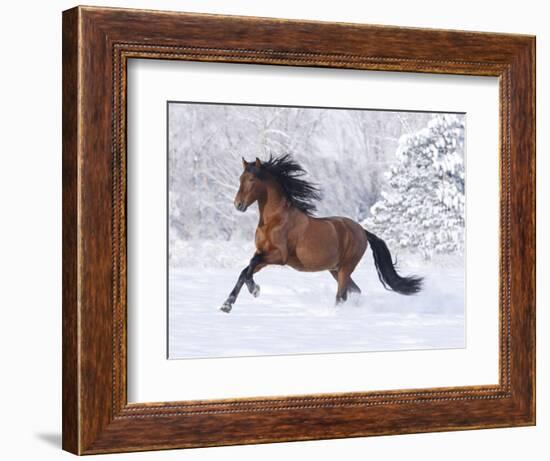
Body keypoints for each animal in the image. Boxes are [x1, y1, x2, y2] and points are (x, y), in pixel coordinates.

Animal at [222, 155, 424, 312]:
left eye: (251, 180)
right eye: (240, 178)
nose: (238, 205)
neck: (275, 220)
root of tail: (362, 231)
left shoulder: (279, 256)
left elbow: (250, 266)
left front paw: (255, 290)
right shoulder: (263, 254)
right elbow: (245, 271)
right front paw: (227, 305)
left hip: (345, 268)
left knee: (341, 296)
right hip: (335, 269)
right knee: (354, 291)